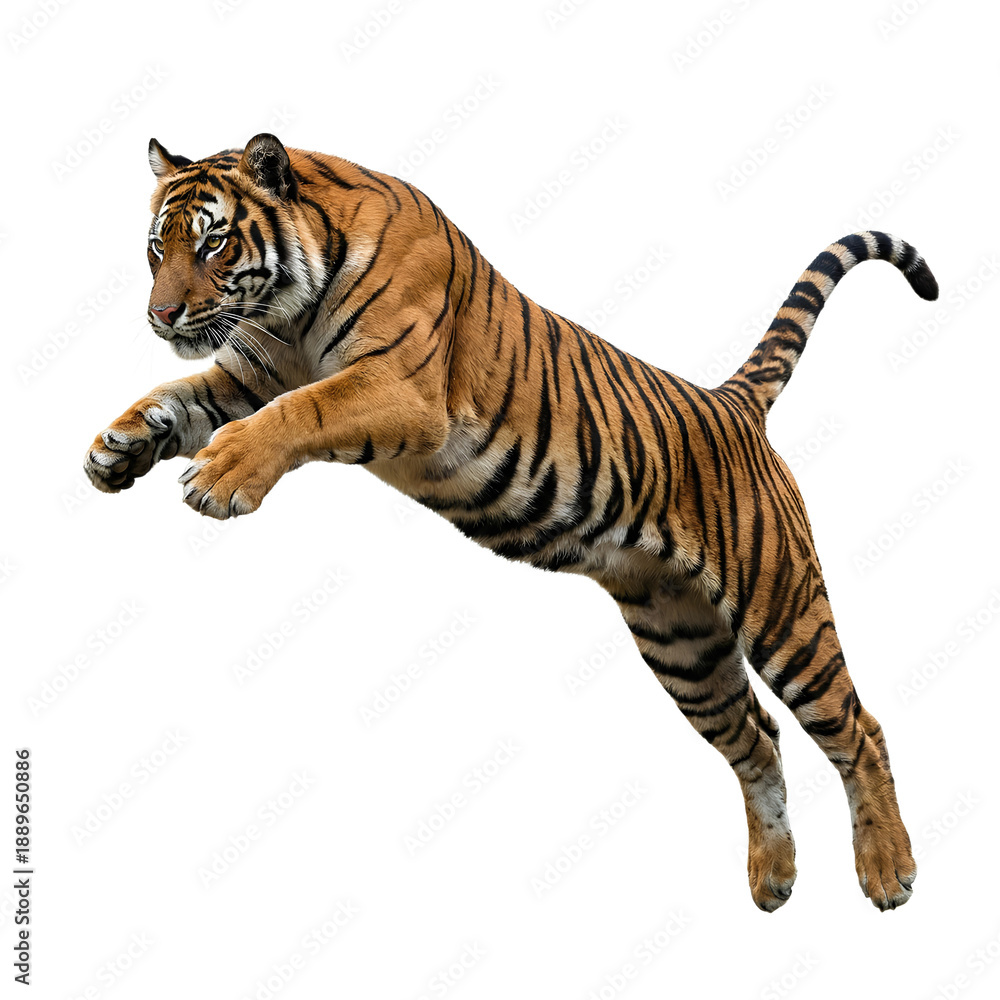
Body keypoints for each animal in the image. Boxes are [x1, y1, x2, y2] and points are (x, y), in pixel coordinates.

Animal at [84, 133, 937, 911]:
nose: (161, 315)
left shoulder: (400, 390)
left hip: (781, 608)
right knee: (757, 739)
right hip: (682, 642)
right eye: (158, 246)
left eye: (213, 241)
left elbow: (302, 410)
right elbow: (175, 395)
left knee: (857, 727)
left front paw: (219, 477)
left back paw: (889, 872)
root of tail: (730, 401)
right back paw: (773, 878)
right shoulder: (247, 373)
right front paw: (116, 448)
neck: (288, 309)